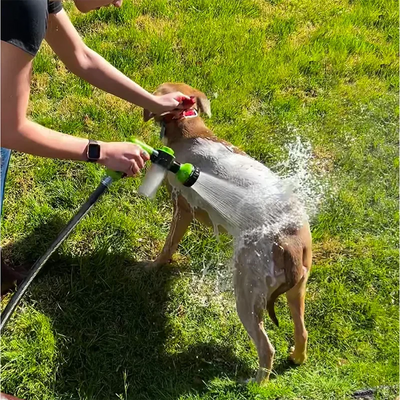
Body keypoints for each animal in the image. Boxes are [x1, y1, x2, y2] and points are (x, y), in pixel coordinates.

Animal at [144, 82, 312, 384]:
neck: (190, 131)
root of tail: (290, 245)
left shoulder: (182, 208)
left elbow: (167, 247)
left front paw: (151, 266)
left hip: (247, 294)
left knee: (266, 347)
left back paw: (256, 385)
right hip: (297, 289)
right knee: (302, 331)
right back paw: (296, 357)